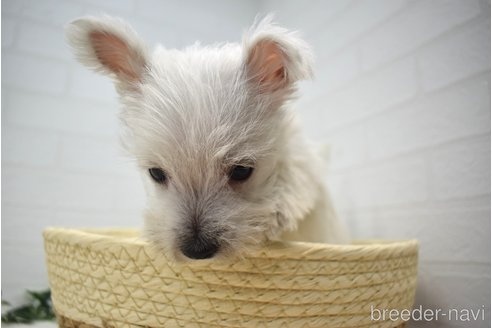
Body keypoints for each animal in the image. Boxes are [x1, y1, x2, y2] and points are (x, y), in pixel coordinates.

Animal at [66, 16, 350, 262]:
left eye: (242, 171)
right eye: (156, 174)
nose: (196, 251)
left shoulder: (302, 158)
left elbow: (297, 183)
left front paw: (278, 211)